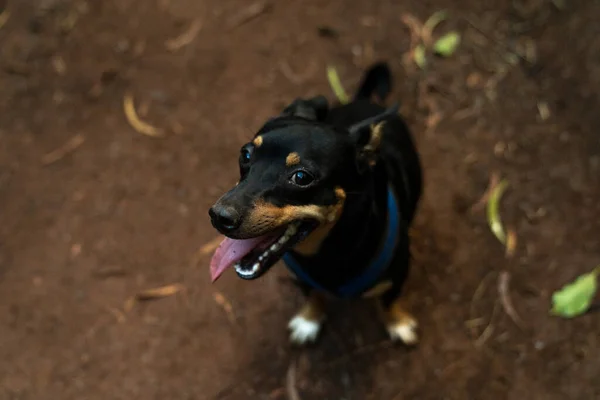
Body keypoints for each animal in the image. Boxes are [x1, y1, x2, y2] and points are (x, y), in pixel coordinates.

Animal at [209, 61, 424, 346]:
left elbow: (389, 302)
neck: (325, 253)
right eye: (245, 154)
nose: (218, 216)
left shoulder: (397, 278)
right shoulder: (302, 280)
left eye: (301, 177)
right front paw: (309, 320)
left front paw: (398, 323)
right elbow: (313, 296)